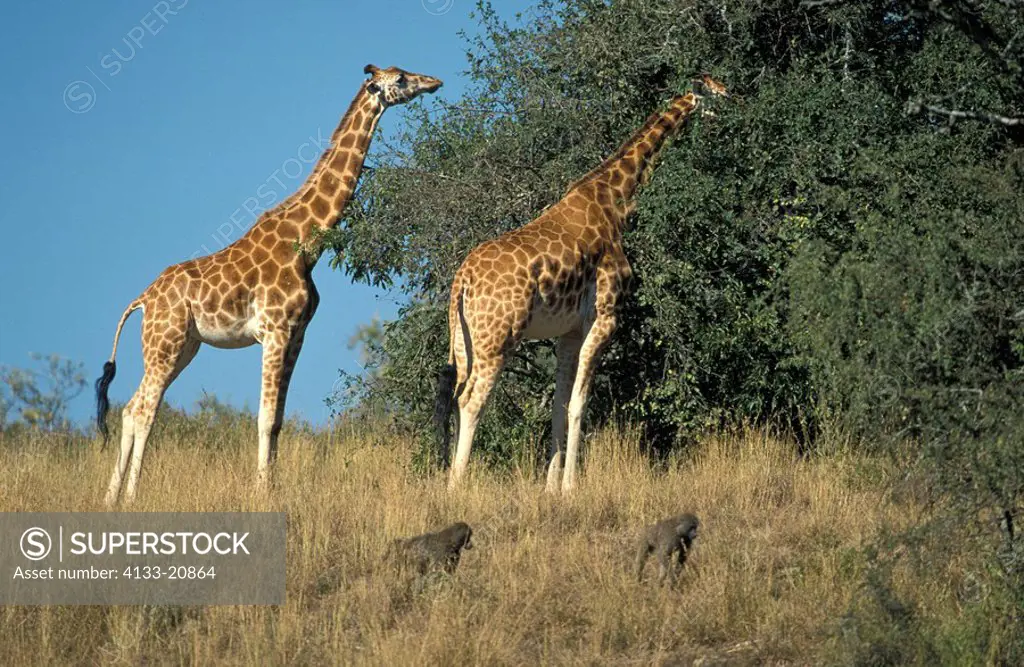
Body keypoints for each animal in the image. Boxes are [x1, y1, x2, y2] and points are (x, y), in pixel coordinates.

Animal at [96, 66, 444, 506]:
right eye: (399, 79)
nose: (434, 82)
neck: (307, 242)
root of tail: (142, 299)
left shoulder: (297, 334)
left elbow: (277, 419)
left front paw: (274, 487)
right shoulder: (274, 330)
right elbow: (262, 418)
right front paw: (261, 492)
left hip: (184, 346)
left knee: (130, 408)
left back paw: (110, 497)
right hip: (164, 342)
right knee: (144, 410)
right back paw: (131, 497)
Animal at [434, 74, 729, 495]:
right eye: (718, 94)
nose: (735, 104)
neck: (616, 201)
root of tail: (463, 279)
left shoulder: (568, 332)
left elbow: (559, 406)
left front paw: (550, 488)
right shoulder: (605, 316)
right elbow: (579, 404)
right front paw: (571, 487)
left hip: (464, 340)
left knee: (454, 395)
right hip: (497, 339)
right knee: (472, 401)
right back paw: (456, 486)